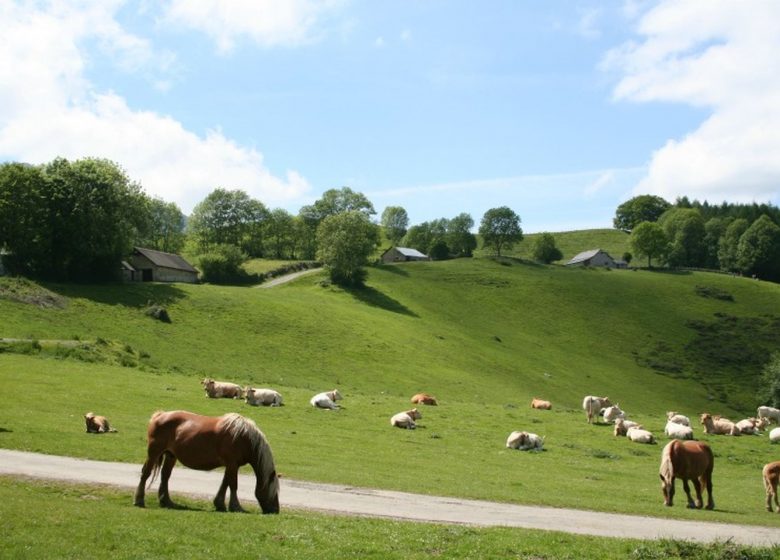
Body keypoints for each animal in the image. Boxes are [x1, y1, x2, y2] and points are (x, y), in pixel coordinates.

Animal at [134, 410, 280, 516]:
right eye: (274, 490)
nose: (276, 510)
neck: (244, 438)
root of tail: (159, 415)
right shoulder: (232, 464)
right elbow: (233, 485)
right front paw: (236, 507)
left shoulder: (231, 465)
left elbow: (225, 483)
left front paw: (219, 504)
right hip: (154, 453)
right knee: (146, 473)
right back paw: (139, 500)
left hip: (170, 456)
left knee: (165, 476)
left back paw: (167, 502)